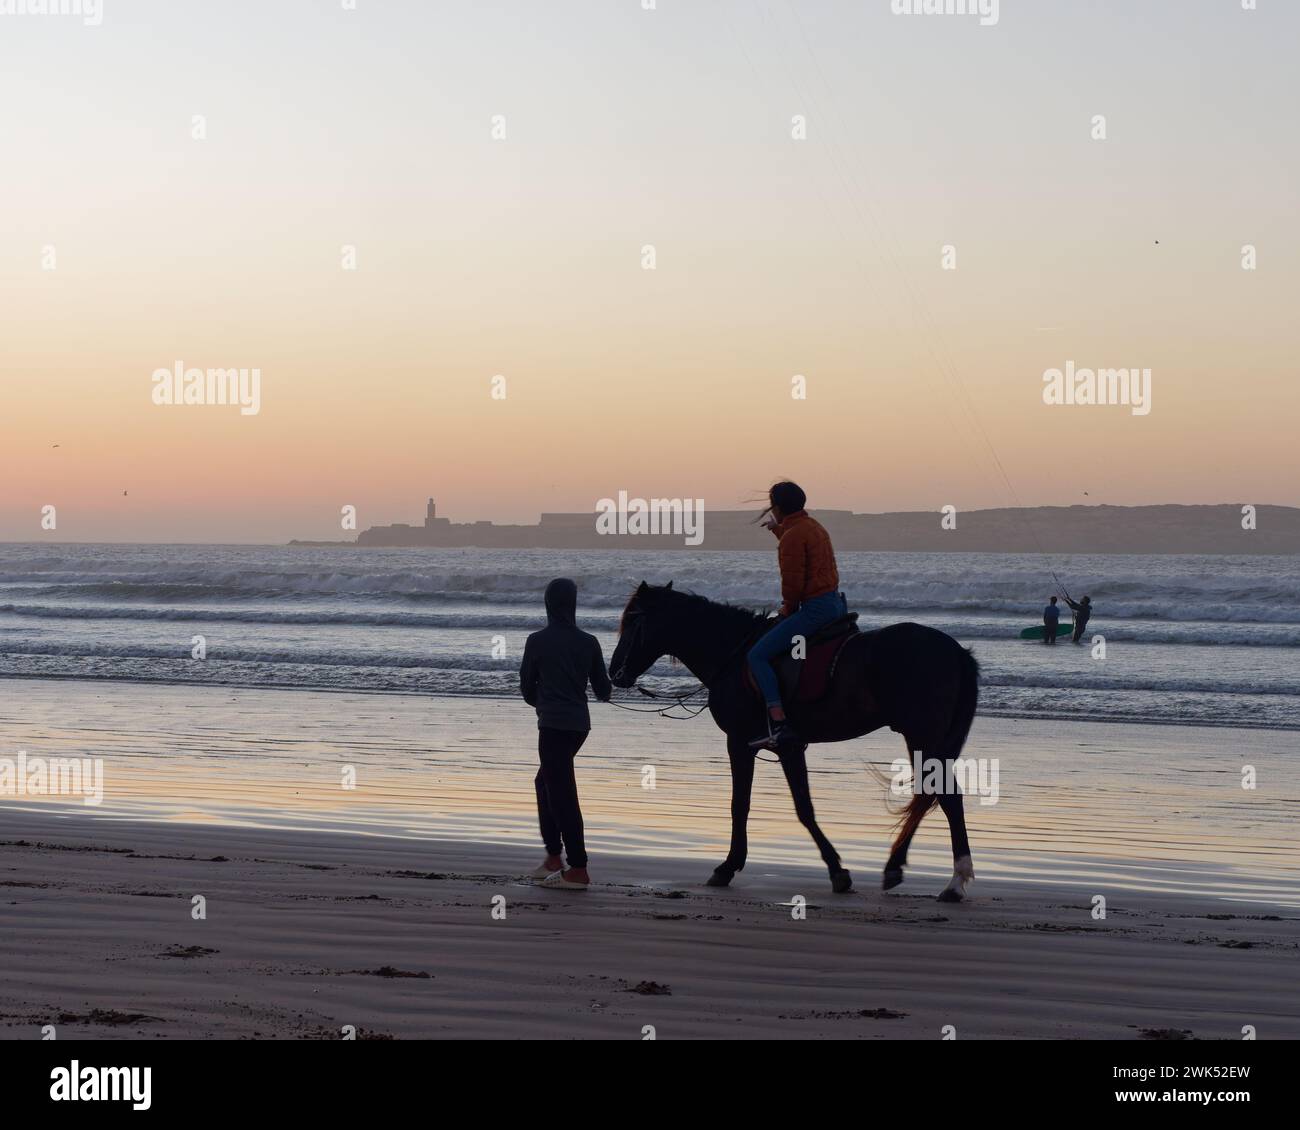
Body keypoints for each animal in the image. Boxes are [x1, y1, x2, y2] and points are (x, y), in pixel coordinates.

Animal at [605, 582, 977, 899]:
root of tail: (956, 651)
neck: (732, 655)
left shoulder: (745, 742)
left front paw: (729, 866)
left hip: (922, 734)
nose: (614, 672)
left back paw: (952, 882)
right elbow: (795, 806)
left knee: (945, 796)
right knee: (938, 794)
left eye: (633, 620)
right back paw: (906, 869)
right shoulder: (786, 747)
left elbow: (753, 805)